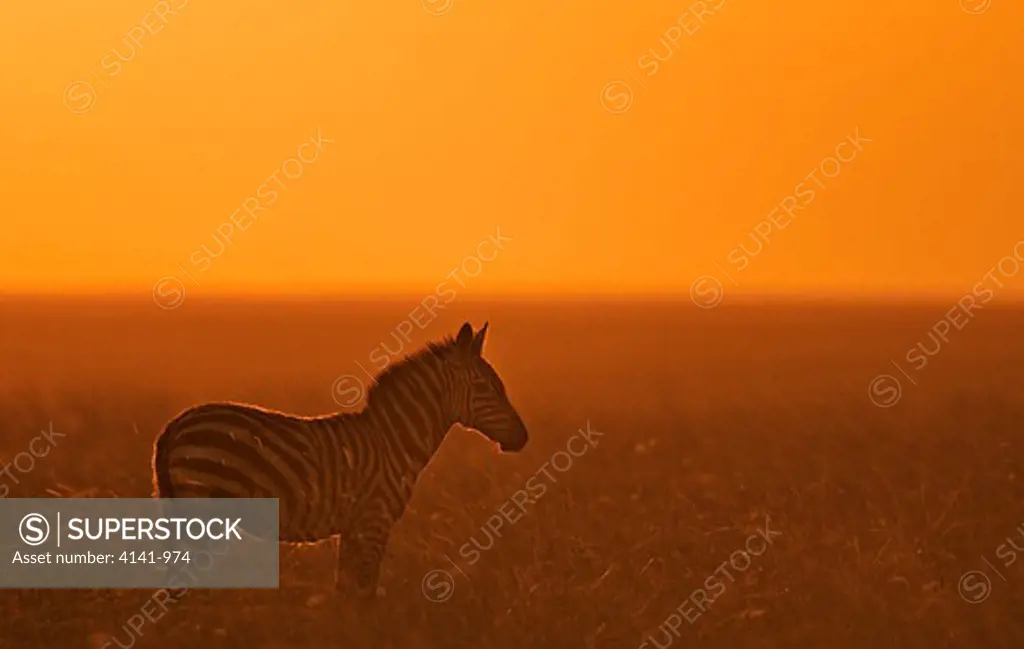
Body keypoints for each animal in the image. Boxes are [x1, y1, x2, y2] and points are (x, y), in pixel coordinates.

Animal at [149, 321, 528, 597]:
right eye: (486, 387)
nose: (524, 437)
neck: (394, 441)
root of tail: (175, 425)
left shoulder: (354, 526)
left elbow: (345, 595)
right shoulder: (374, 521)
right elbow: (363, 596)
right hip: (202, 508)